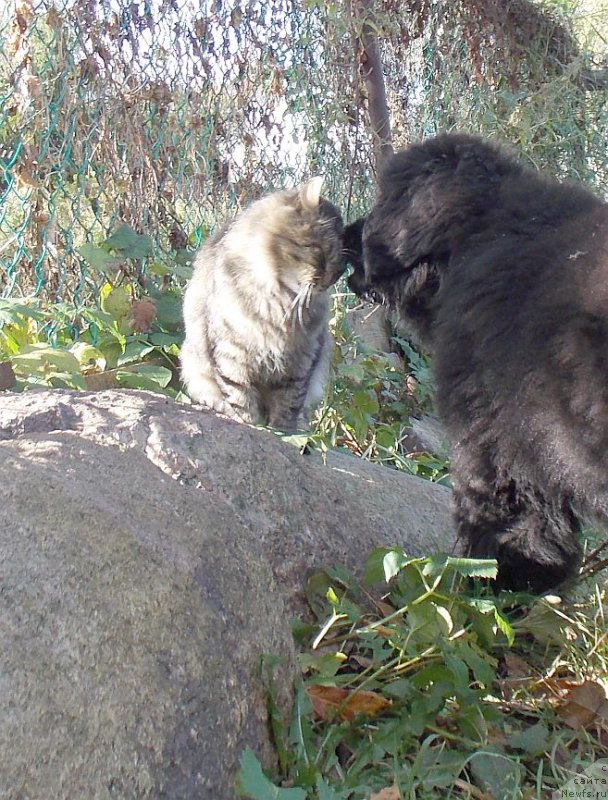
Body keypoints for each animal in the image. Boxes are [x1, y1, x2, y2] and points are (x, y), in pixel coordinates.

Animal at [180, 179, 344, 434]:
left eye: (342, 264)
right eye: (320, 253)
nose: (331, 280)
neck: (280, 303)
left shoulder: (302, 358)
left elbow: (290, 400)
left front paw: (284, 432)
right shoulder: (232, 352)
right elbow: (239, 395)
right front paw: (249, 424)